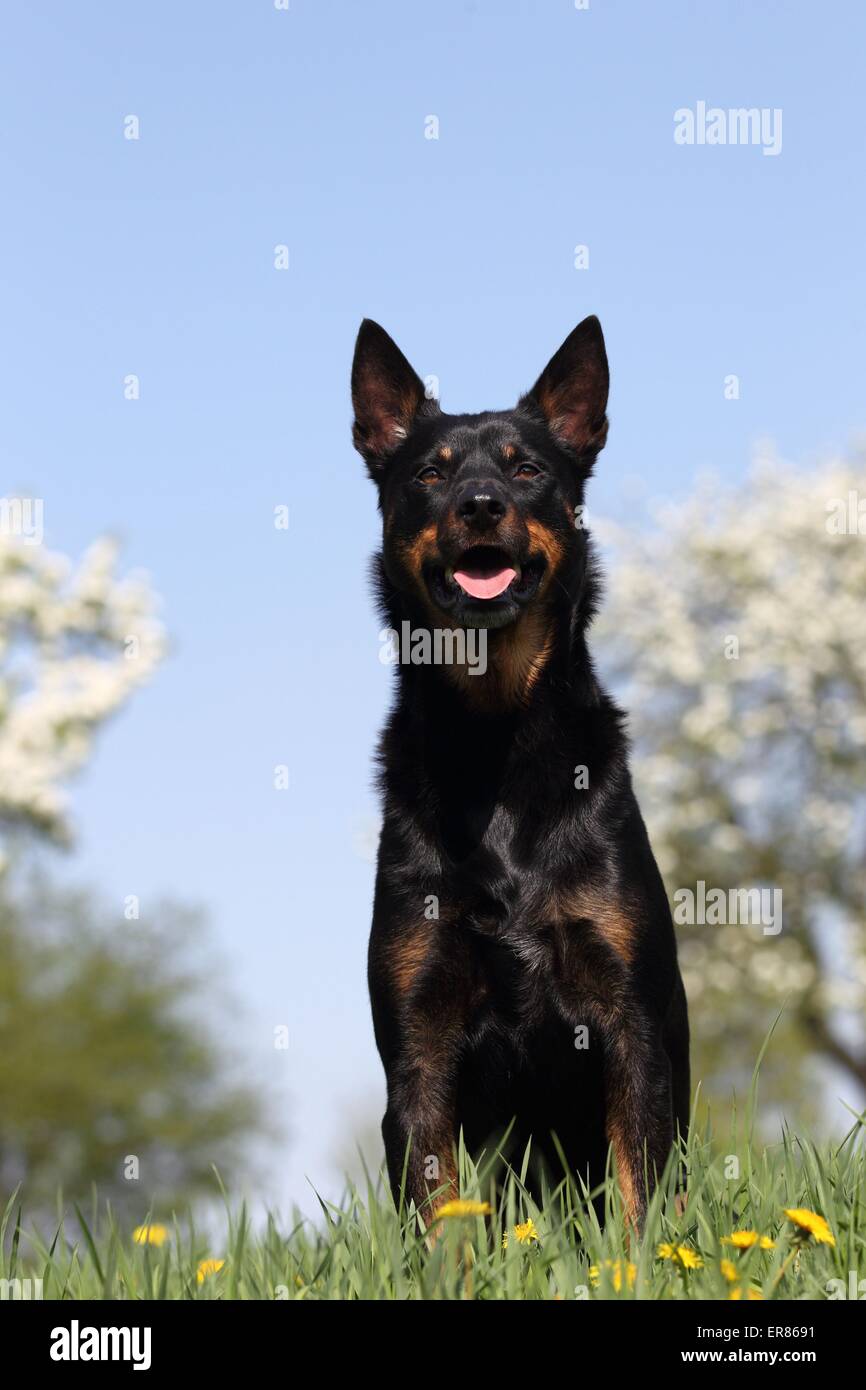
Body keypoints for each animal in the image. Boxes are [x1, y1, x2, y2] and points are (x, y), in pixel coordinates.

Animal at [353, 315, 692, 1228]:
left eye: (527, 469)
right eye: (431, 474)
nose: (479, 504)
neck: (495, 740)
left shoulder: (630, 1022)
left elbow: (639, 1195)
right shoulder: (419, 1038)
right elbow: (440, 1216)